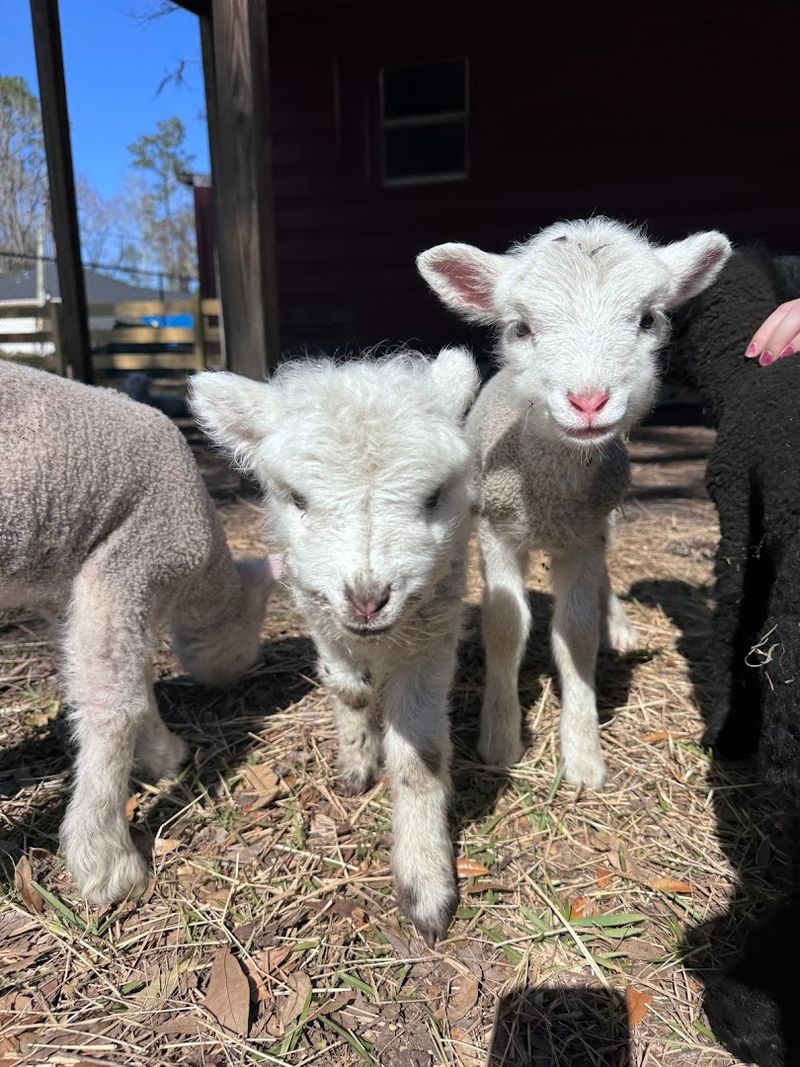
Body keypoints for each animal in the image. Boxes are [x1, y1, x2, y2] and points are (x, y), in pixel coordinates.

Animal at [0, 360, 279, 906]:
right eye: (253, 629)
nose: (237, 679)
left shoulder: (66, 590)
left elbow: (115, 675)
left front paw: (163, 754)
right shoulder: (132, 558)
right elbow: (115, 703)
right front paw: (106, 861)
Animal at [190, 347, 480, 945]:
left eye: (434, 497)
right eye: (297, 498)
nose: (368, 599)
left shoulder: (432, 635)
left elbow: (420, 757)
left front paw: (426, 884)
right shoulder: (320, 615)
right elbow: (348, 691)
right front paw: (357, 762)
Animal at [418, 217, 732, 788]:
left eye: (648, 318)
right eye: (520, 327)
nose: (588, 402)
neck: (551, 498)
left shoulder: (584, 536)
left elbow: (577, 634)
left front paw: (584, 756)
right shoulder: (498, 532)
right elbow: (506, 627)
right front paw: (500, 739)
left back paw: (619, 627)